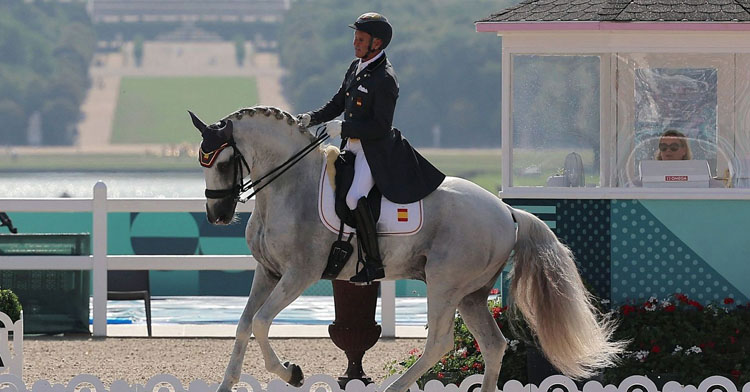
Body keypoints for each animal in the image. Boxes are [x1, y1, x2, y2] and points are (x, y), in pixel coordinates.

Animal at [191, 106, 624, 392]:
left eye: (223, 162)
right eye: (202, 163)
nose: (216, 215)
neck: (290, 184)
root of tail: (506, 211)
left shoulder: (300, 274)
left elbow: (261, 323)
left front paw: (292, 373)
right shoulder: (269, 272)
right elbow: (244, 325)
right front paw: (227, 384)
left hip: (445, 284)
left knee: (440, 343)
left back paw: (393, 388)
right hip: (470, 294)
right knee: (493, 345)